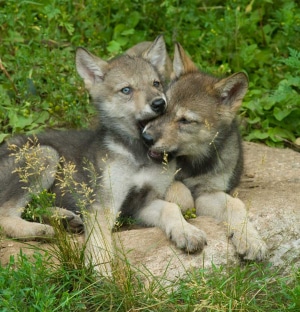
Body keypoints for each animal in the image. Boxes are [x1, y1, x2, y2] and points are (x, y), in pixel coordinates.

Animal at [0, 37, 206, 274]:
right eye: (126, 90)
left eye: (156, 83)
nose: (159, 103)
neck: (137, 157)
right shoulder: (104, 204)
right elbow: (101, 242)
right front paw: (103, 271)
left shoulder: (142, 204)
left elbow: (171, 208)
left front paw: (187, 231)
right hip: (46, 153)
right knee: (5, 215)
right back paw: (42, 230)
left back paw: (63, 219)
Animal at [143, 42, 268, 260]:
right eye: (162, 107)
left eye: (185, 120)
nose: (146, 137)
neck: (192, 163)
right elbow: (179, 193)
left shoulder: (208, 193)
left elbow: (235, 204)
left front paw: (250, 239)